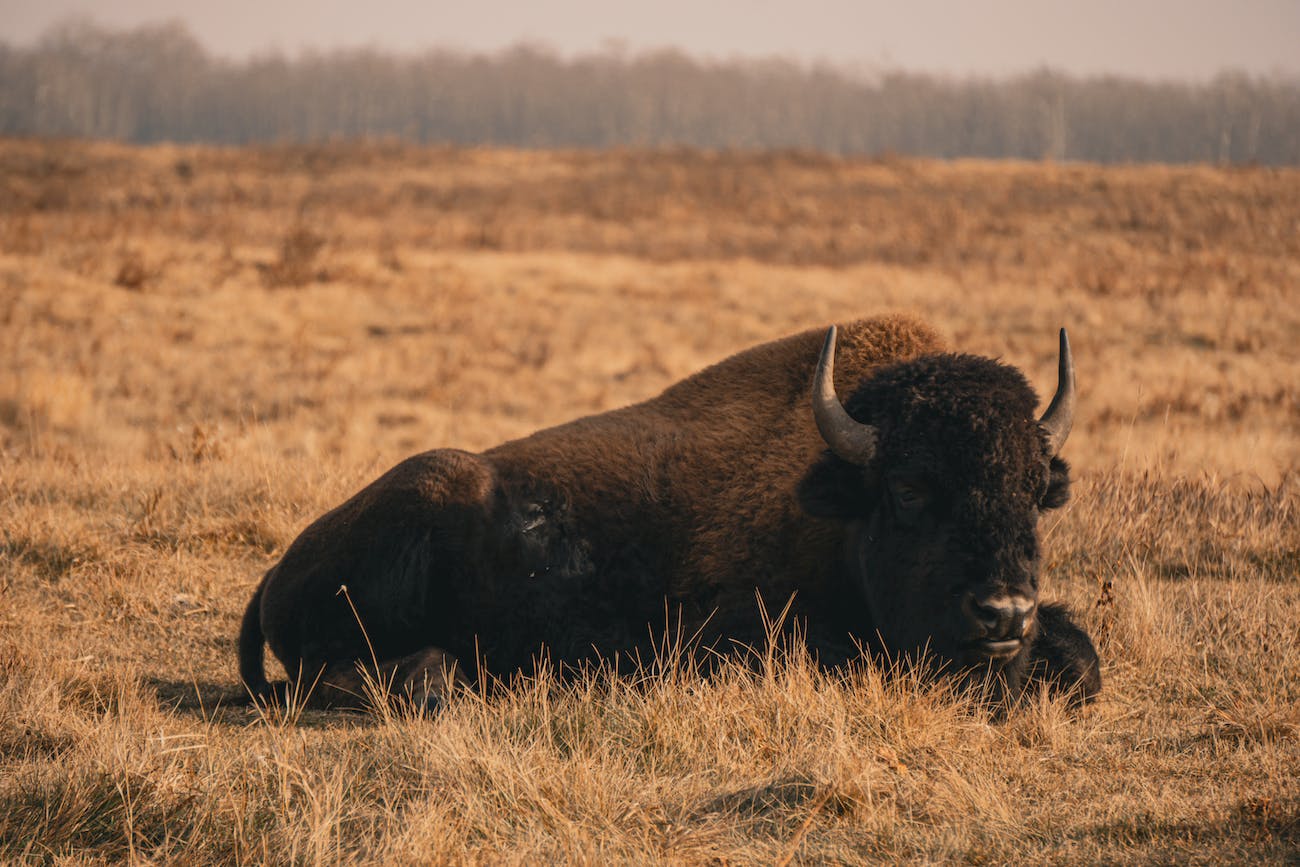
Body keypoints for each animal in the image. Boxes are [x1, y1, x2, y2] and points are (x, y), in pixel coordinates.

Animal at [236, 315, 1097, 707]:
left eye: (1034, 489)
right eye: (911, 487)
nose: (1003, 613)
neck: (837, 499)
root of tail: (278, 569)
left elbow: (1084, 655)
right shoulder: (725, 638)